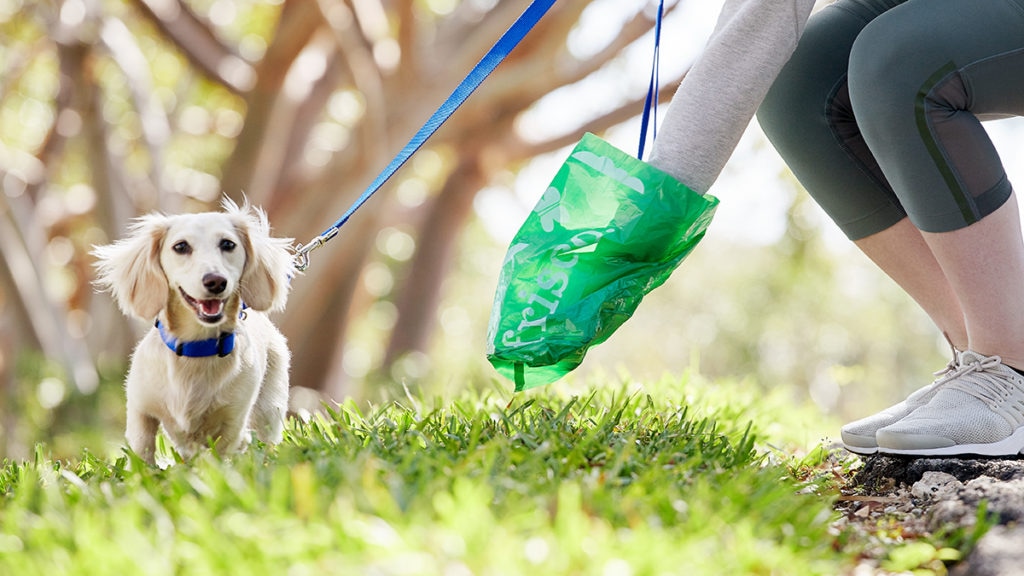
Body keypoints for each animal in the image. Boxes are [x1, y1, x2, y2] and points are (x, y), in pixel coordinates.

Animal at [92, 196, 296, 461]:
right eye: (180, 246)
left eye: (228, 244)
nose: (216, 281)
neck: (196, 349)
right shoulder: (139, 407)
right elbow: (142, 450)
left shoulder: (233, 420)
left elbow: (222, 453)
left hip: (269, 407)